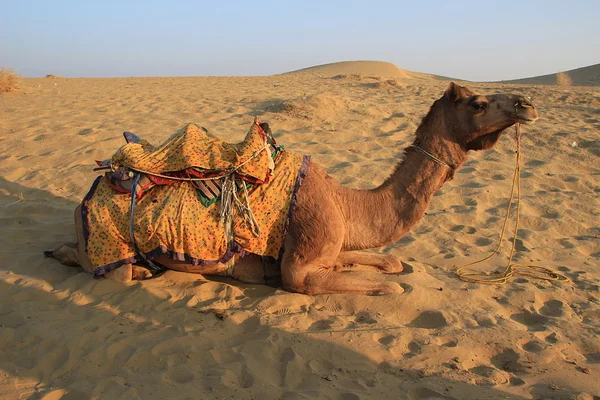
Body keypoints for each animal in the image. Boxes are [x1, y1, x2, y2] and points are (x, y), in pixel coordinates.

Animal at [47, 83, 536, 294]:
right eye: (479, 103)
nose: (526, 102)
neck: (345, 201)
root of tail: (89, 191)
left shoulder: (335, 243)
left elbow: (392, 263)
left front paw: (387, 264)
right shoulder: (299, 269)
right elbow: (389, 289)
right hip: (110, 247)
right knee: (113, 270)